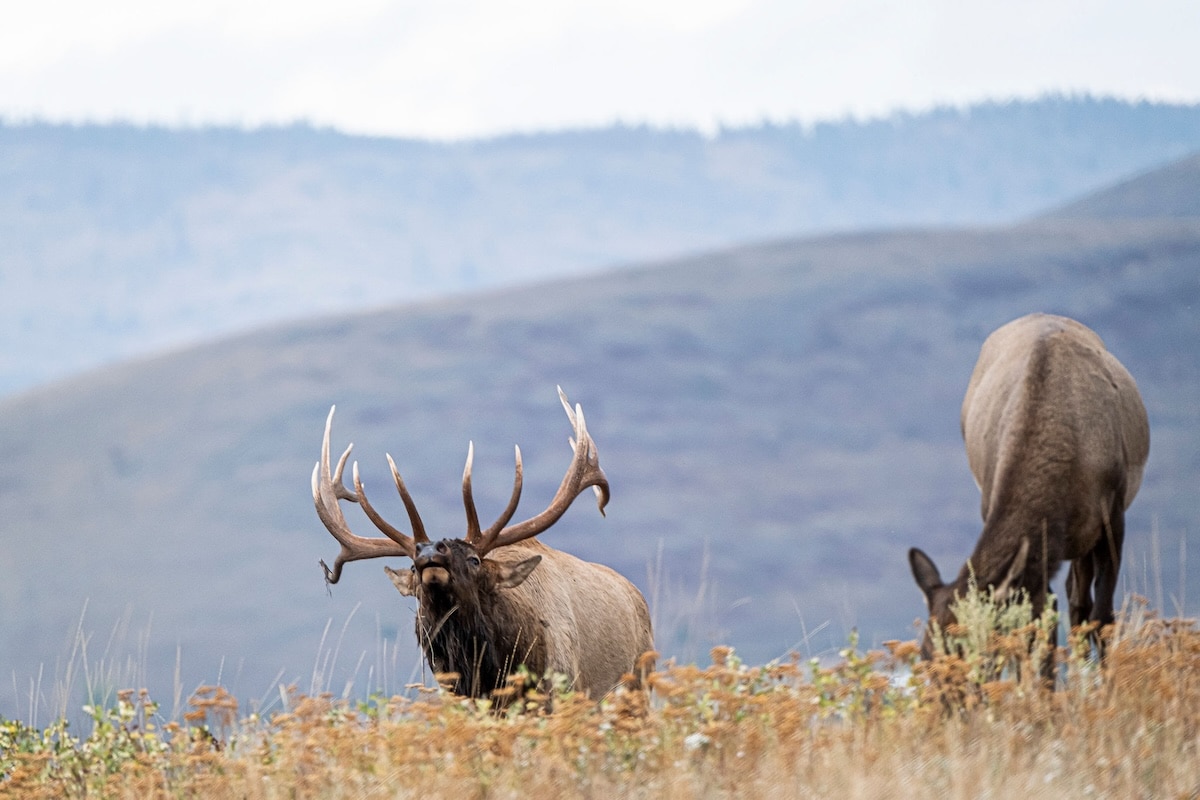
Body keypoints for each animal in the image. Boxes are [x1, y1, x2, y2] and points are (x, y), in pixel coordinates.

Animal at [908, 313, 1150, 665]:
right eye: (926, 654)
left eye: (981, 647)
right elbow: (1039, 621)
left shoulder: (1113, 515)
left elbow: (1103, 617)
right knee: (1071, 596)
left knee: (1082, 601)